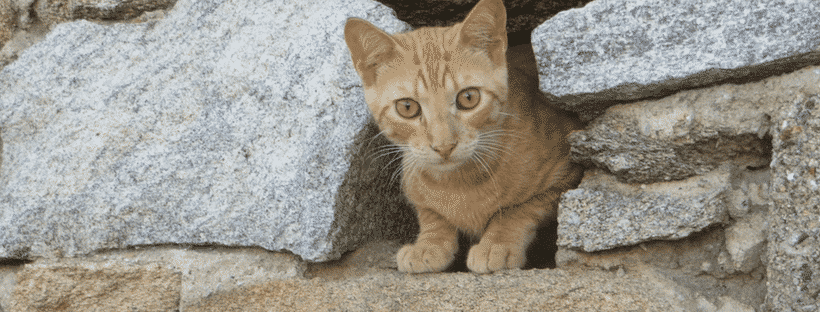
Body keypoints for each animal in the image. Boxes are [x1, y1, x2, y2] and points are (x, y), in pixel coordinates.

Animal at [342, 0, 584, 272]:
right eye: (407, 107)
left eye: (469, 98)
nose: (444, 146)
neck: (459, 182)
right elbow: (431, 214)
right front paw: (429, 244)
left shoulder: (566, 172)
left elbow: (519, 209)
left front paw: (497, 244)